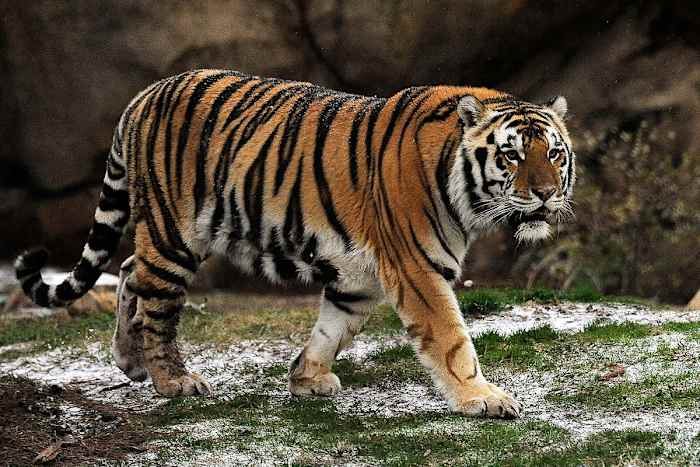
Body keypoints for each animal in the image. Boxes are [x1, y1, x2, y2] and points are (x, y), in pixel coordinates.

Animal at [15, 69, 574, 419]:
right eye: (512, 156)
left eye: (554, 154)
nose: (546, 193)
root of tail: (143, 95)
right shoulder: (417, 269)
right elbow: (452, 339)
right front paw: (483, 398)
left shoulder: (358, 277)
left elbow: (333, 328)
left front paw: (306, 378)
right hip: (175, 233)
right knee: (156, 300)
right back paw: (173, 380)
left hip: (175, 234)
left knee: (130, 269)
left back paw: (129, 361)